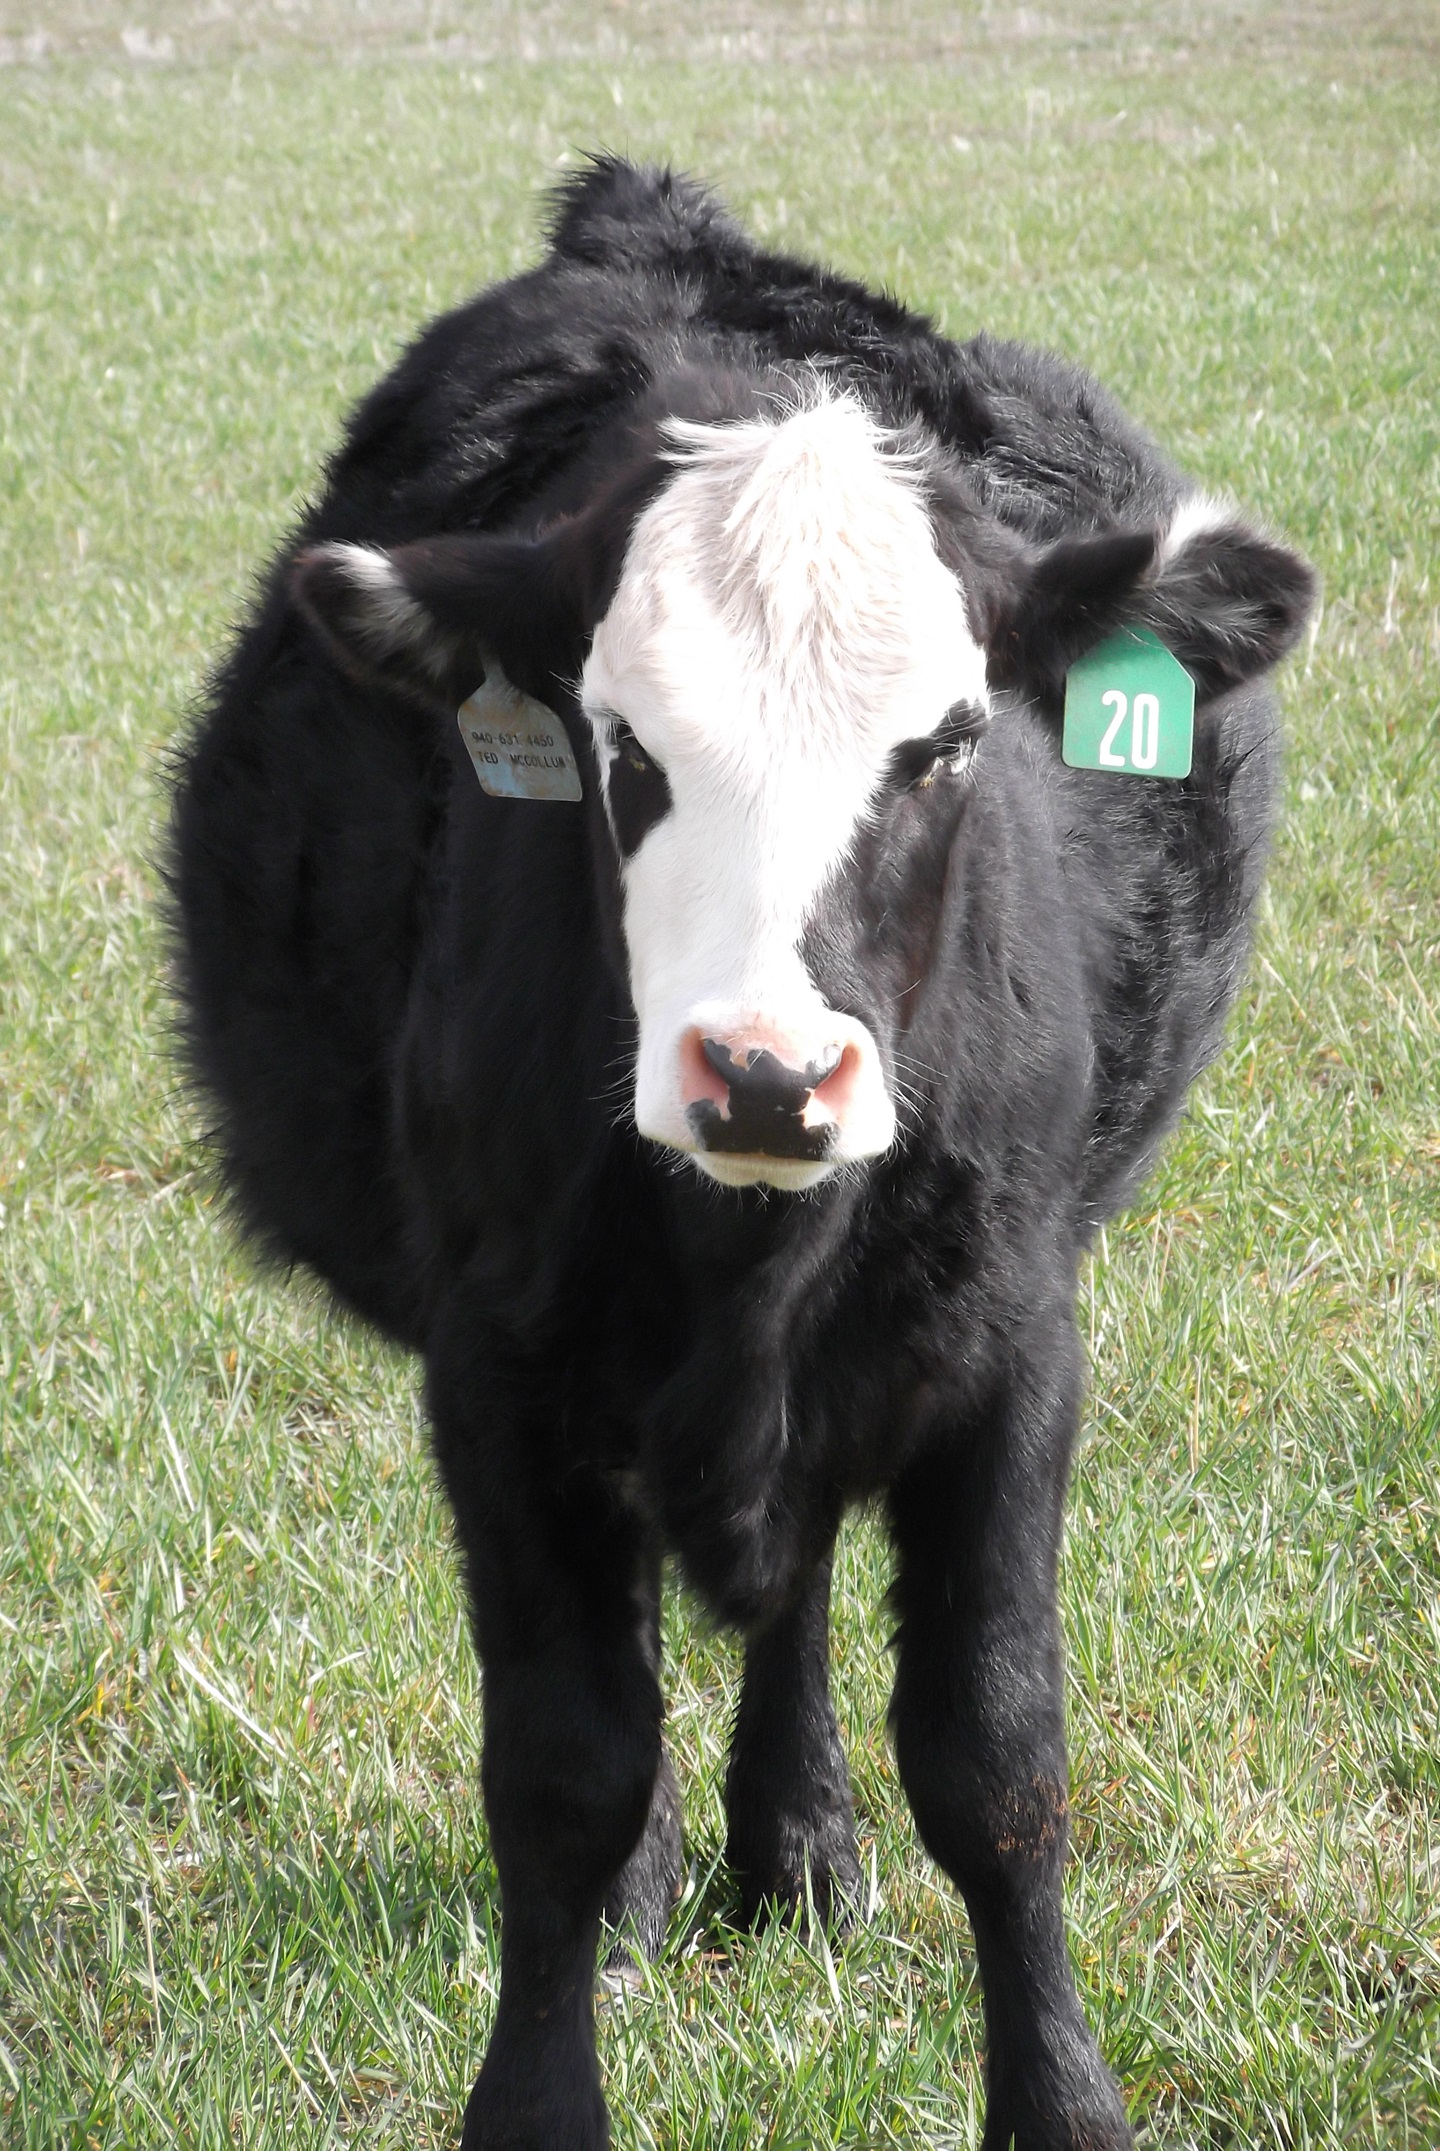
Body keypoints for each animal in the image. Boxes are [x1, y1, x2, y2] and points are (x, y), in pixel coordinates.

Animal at [171, 157, 1315, 2151]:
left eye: (946, 743)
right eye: (613, 741)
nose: (768, 1075)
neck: (747, 1265)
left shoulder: (1014, 1343)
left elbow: (997, 1756)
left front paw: (1059, 2094)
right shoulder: (498, 1366)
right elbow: (564, 1766)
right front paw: (544, 2086)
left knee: (794, 1590)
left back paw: (795, 1846)